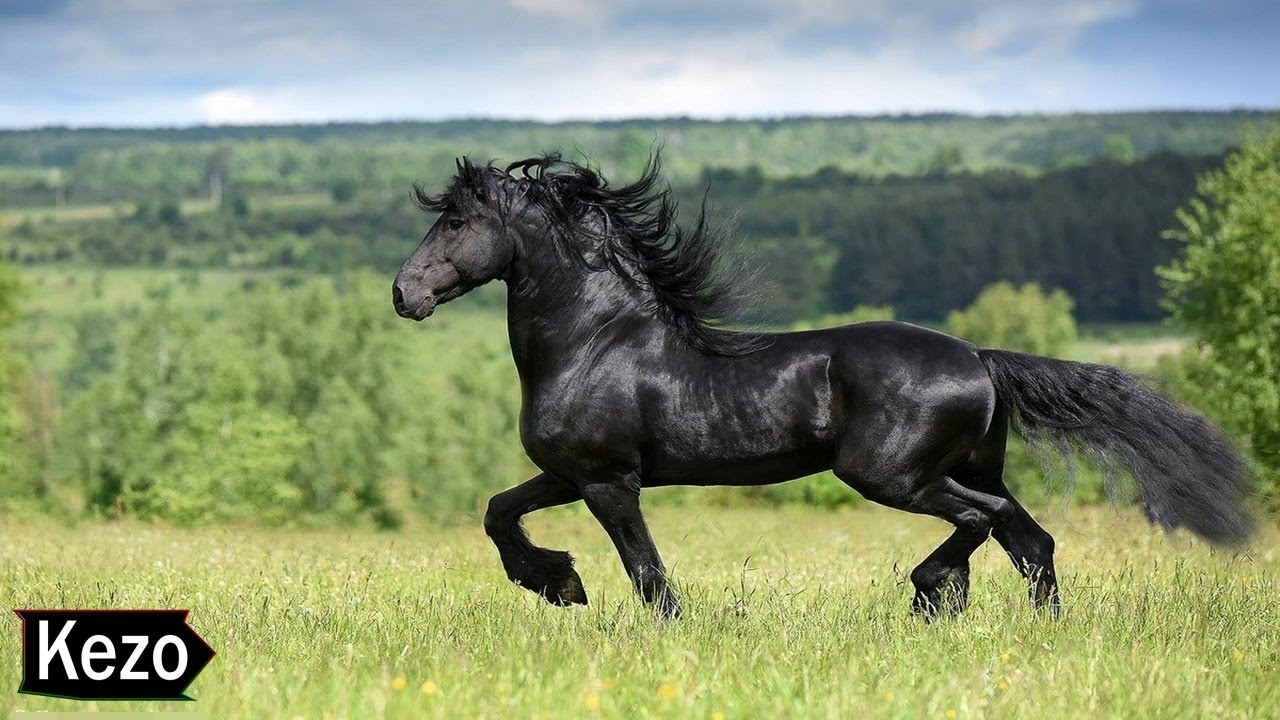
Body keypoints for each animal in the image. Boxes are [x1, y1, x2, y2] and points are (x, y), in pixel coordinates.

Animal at [389, 152, 1249, 617]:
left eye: (457, 223)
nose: (404, 294)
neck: (592, 342)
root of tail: (978, 356)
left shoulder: (607, 480)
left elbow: (647, 572)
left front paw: (597, 600)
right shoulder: (569, 474)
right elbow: (499, 512)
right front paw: (558, 583)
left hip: (893, 476)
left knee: (984, 523)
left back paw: (931, 596)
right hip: (969, 467)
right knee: (1029, 540)